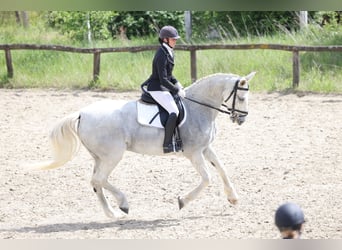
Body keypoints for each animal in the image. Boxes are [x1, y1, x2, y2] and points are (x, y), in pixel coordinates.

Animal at [28, 71, 255, 218]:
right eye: (242, 97)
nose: (242, 119)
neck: (198, 107)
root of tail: (81, 113)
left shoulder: (205, 148)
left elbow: (222, 169)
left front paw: (233, 198)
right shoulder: (194, 153)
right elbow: (207, 178)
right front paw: (182, 201)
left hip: (100, 157)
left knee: (96, 182)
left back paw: (112, 213)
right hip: (113, 155)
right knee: (99, 179)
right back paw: (123, 205)